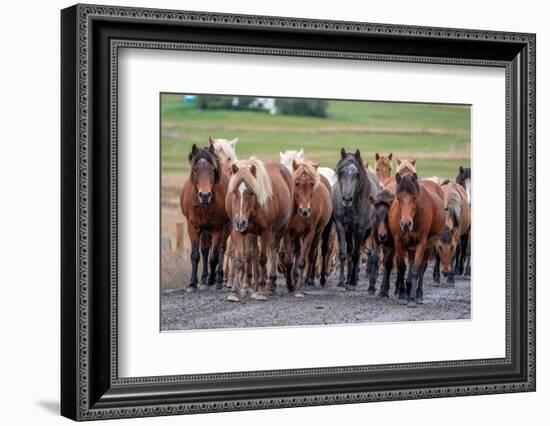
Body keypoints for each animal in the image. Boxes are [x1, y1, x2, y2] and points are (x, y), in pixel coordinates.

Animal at [181, 142, 231, 290]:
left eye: (212, 170)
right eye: (195, 169)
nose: (204, 195)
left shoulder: (217, 229)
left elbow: (214, 257)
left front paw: (213, 279)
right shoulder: (193, 227)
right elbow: (195, 255)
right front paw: (192, 283)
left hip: (227, 227)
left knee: (221, 249)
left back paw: (218, 278)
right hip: (204, 230)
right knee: (204, 250)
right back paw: (204, 279)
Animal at [225, 158, 296, 302]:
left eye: (252, 192)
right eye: (234, 192)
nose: (240, 222)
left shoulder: (266, 232)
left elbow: (262, 259)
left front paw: (262, 291)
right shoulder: (238, 231)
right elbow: (239, 260)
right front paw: (234, 292)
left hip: (280, 229)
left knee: (273, 250)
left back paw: (270, 284)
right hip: (251, 233)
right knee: (252, 253)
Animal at [282, 159, 334, 296]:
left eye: (312, 184)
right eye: (296, 183)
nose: (305, 211)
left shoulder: (309, 233)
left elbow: (302, 261)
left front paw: (300, 287)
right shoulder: (289, 232)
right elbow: (289, 261)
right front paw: (290, 285)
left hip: (321, 231)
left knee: (316, 253)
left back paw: (312, 280)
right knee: (301, 252)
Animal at [332, 147, 376, 290]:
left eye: (356, 174)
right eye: (341, 172)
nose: (346, 199)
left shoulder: (360, 230)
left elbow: (356, 254)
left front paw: (352, 280)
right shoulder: (341, 226)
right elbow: (343, 253)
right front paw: (342, 280)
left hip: (367, 231)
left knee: (358, 251)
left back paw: (354, 277)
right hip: (349, 232)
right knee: (351, 251)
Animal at [388, 173, 448, 306]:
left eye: (414, 198)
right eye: (398, 198)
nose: (405, 224)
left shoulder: (422, 243)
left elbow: (416, 269)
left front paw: (412, 298)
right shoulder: (399, 242)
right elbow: (402, 267)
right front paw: (402, 295)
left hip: (429, 246)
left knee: (422, 267)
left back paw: (418, 294)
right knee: (410, 261)